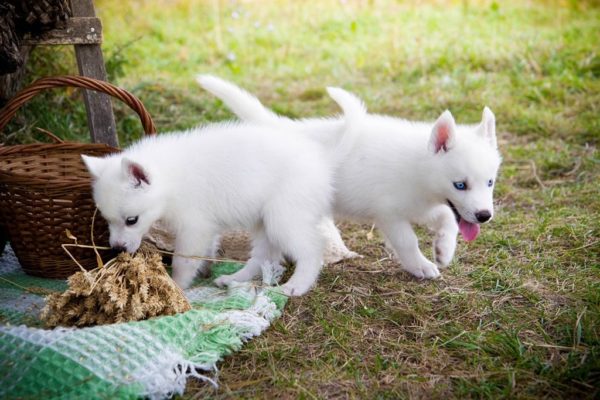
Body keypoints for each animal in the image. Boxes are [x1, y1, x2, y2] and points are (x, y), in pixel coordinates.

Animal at [82, 86, 366, 296]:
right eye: (107, 220)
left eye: (132, 220)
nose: (117, 249)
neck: (170, 179)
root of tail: (322, 158)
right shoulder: (205, 228)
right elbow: (207, 251)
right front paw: (206, 271)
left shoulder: (194, 227)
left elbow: (184, 260)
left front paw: (177, 286)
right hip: (263, 222)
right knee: (265, 258)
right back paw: (234, 279)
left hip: (283, 218)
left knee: (311, 250)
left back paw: (297, 285)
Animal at [198, 76, 502, 282]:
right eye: (460, 185)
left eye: (490, 183)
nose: (484, 216)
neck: (419, 169)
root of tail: (283, 128)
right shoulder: (390, 214)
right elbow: (408, 241)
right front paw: (421, 265)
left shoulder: (422, 205)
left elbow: (448, 218)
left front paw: (444, 249)